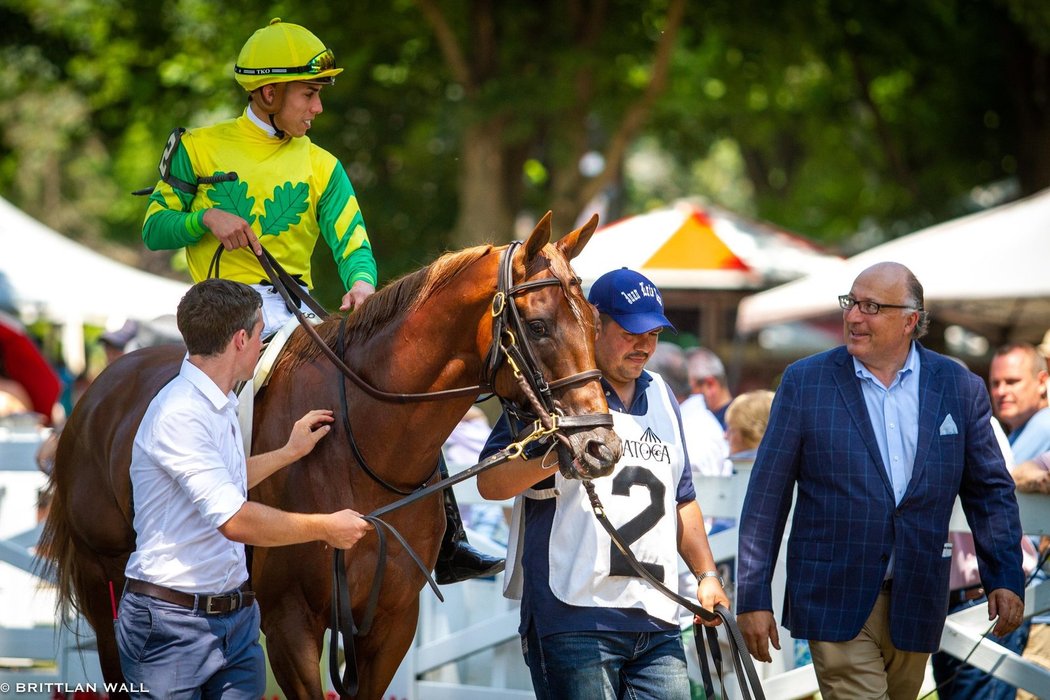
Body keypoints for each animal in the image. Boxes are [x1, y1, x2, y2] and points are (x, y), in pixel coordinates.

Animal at [37, 215, 617, 700]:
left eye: (593, 323)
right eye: (538, 325)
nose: (599, 446)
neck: (362, 449)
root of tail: (97, 391)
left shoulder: (390, 622)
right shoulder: (289, 623)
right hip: (105, 587)